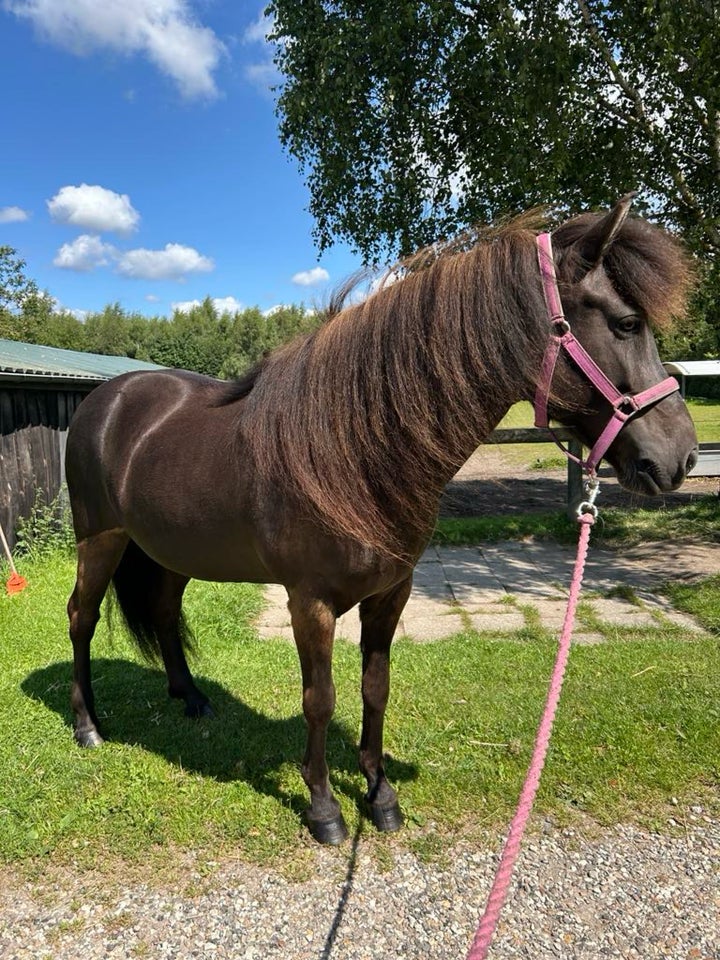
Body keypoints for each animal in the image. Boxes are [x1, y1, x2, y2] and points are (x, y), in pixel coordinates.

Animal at [66, 199, 696, 844]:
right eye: (627, 323)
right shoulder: (310, 602)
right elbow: (320, 699)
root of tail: (107, 399)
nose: (681, 457)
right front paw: (323, 807)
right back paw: (88, 725)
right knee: (81, 617)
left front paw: (379, 793)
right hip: (100, 540)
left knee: (165, 612)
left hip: (170, 550)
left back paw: (191, 699)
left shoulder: (392, 593)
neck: (350, 449)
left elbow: (376, 689)